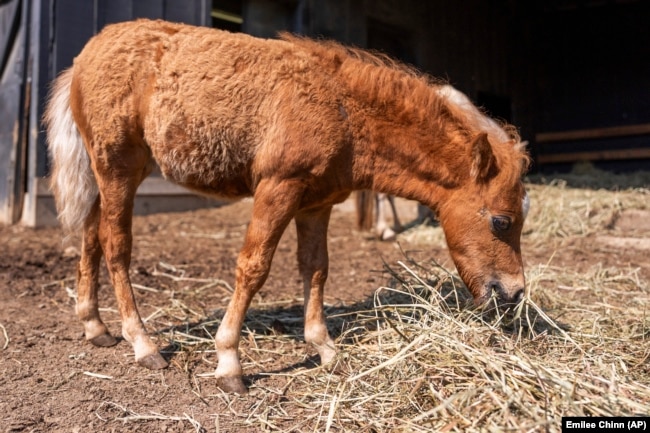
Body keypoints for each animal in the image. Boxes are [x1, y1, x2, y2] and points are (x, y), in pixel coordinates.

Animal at [46, 19, 532, 392]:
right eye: (501, 220)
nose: (513, 293)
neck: (343, 110)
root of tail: (85, 55)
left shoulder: (316, 204)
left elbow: (315, 269)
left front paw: (325, 349)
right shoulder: (278, 188)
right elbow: (253, 267)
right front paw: (229, 362)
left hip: (109, 173)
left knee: (90, 236)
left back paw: (95, 327)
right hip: (118, 167)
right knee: (115, 245)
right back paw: (142, 343)